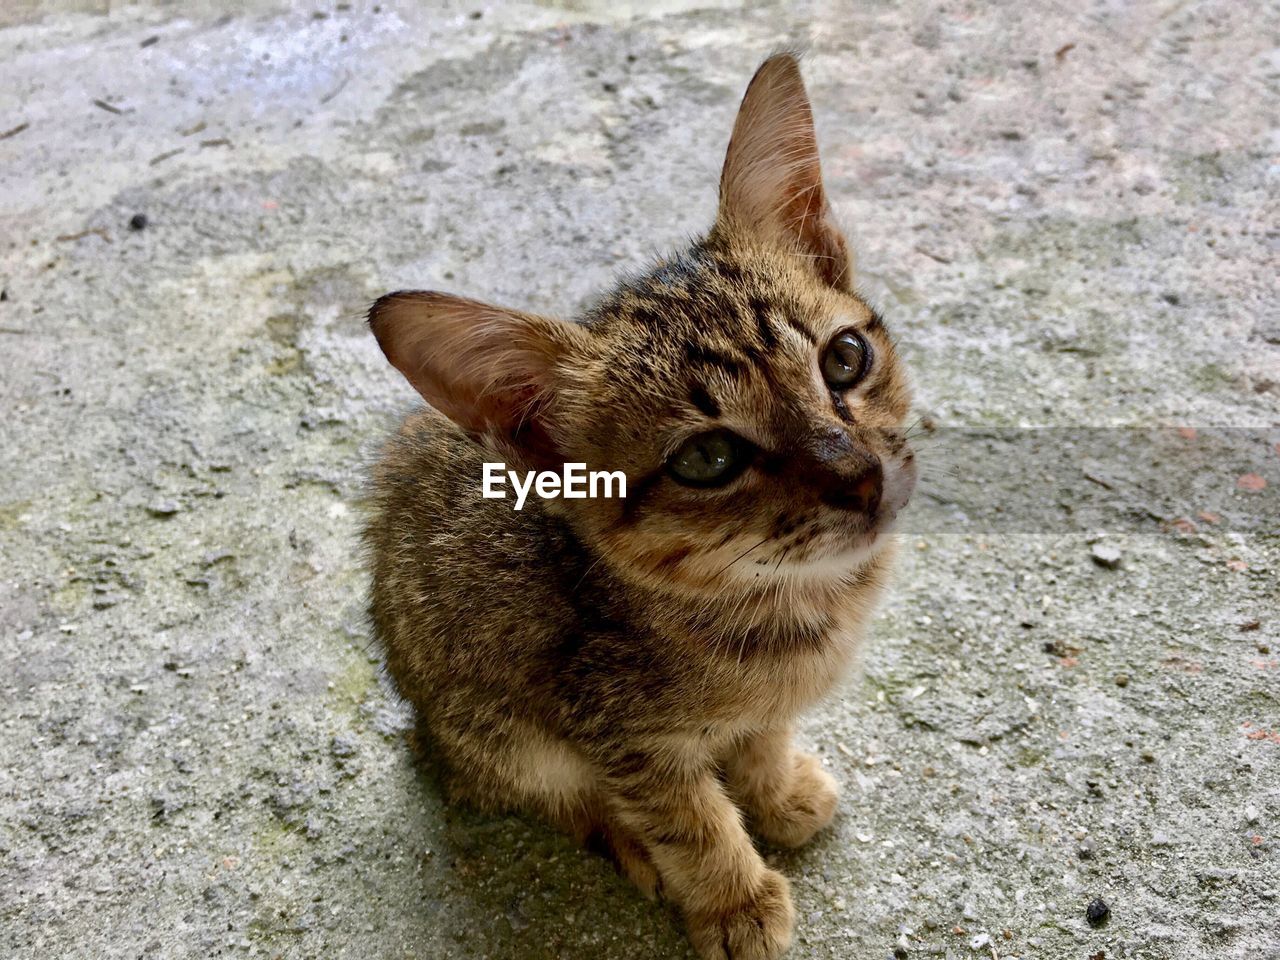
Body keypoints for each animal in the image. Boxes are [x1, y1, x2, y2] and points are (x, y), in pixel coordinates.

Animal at [366, 54, 916, 960]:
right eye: (707, 459)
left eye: (845, 358)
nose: (862, 478)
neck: (787, 600)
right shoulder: (616, 730)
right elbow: (685, 818)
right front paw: (733, 900)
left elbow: (762, 737)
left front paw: (777, 789)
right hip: (489, 723)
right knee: (537, 792)